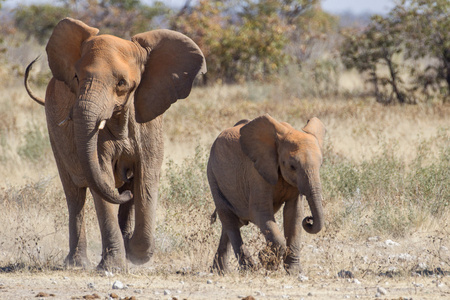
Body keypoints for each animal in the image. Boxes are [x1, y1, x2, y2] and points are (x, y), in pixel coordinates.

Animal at [24, 17, 206, 270]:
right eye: (77, 77)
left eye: (121, 83)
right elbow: (102, 175)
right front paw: (113, 266)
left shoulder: (149, 124)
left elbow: (146, 179)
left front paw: (135, 255)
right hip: (54, 134)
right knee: (75, 196)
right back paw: (78, 263)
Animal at [207, 113, 326, 274]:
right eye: (292, 166)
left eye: (320, 165)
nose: (309, 220)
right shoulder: (256, 173)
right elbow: (260, 211)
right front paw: (267, 261)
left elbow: (294, 214)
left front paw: (293, 272)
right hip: (213, 175)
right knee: (229, 219)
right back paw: (249, 269)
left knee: (232, 223)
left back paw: (219, 271)